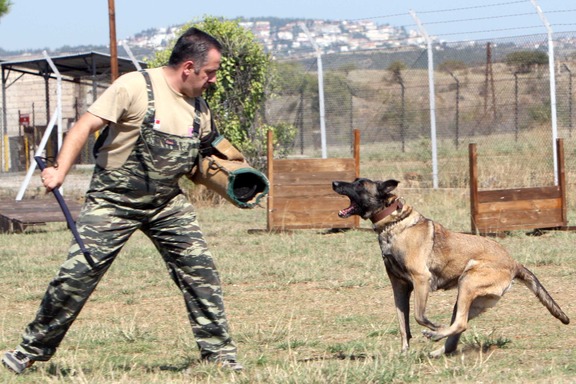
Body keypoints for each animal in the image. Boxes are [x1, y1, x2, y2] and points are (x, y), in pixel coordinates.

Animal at [330, 178, 568, 356]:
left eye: (360, 184)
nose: (334, 182)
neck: (393, 222)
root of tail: (514, 262)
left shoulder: (421, 280)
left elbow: (419, 316)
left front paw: (434, 327)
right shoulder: (399, 287)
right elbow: (403, 325)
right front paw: (404, 353)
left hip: (467, 282)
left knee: (460, 324)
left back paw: (436, 335)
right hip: (471, 298)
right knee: (456, 333)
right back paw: (438, 351)